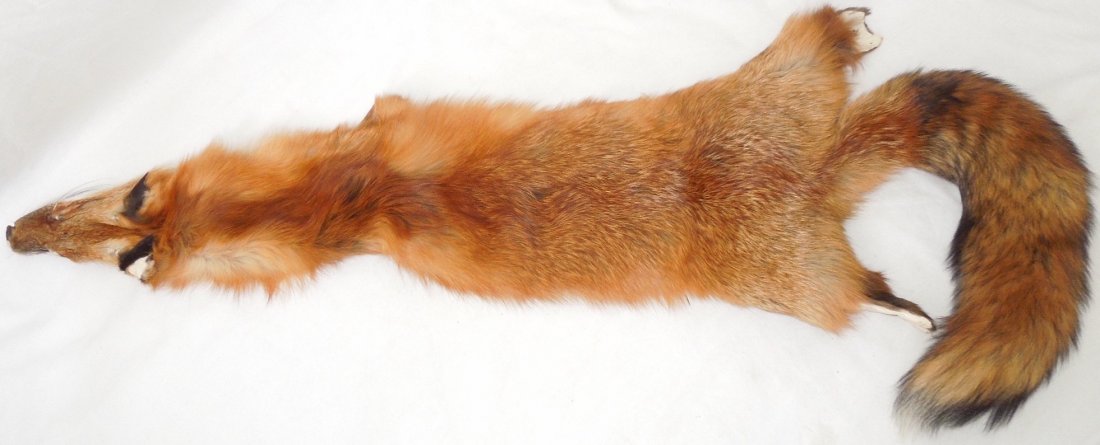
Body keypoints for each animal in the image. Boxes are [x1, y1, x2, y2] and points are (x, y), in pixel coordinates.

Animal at [4, 7, 1091, 431]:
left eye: (115, 252)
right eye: (61, 216)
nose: (14, 231)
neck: (348, 197)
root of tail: (820, 164)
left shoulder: (375, 124)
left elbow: (381, 100)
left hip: (794, 276)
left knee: (863, 290)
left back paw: (901, 306)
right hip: (787, 89)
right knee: (824, 46)